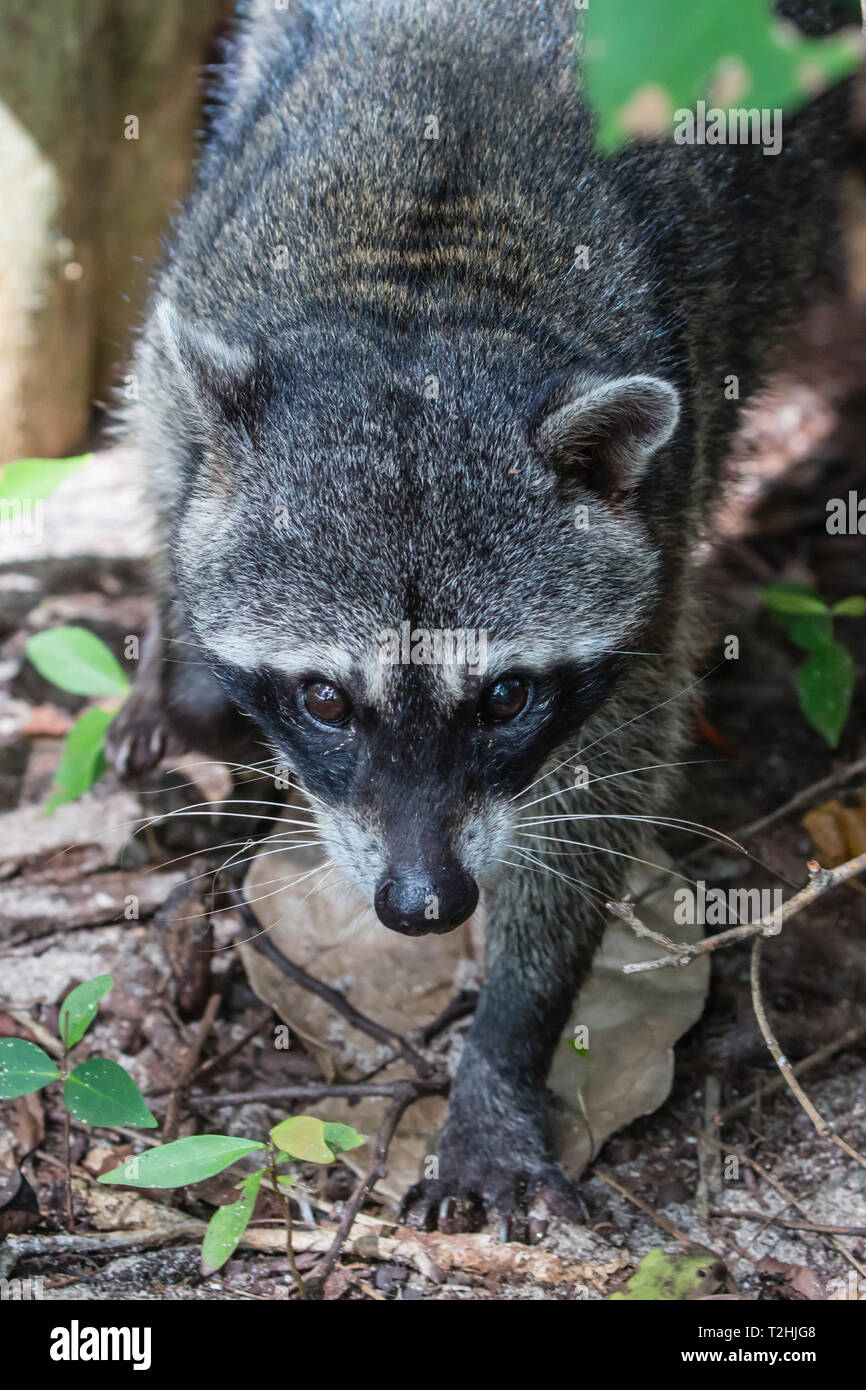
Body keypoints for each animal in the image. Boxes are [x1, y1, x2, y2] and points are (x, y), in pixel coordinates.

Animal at [108, 5, 856, 1234]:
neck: (424, 292)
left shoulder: (658, 526)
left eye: (505, 695)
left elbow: (591, 808)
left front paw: (507, 1050)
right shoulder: (194, 323)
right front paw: (177, 646)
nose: (424, 905)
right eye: (325, 699)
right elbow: (163, 447)